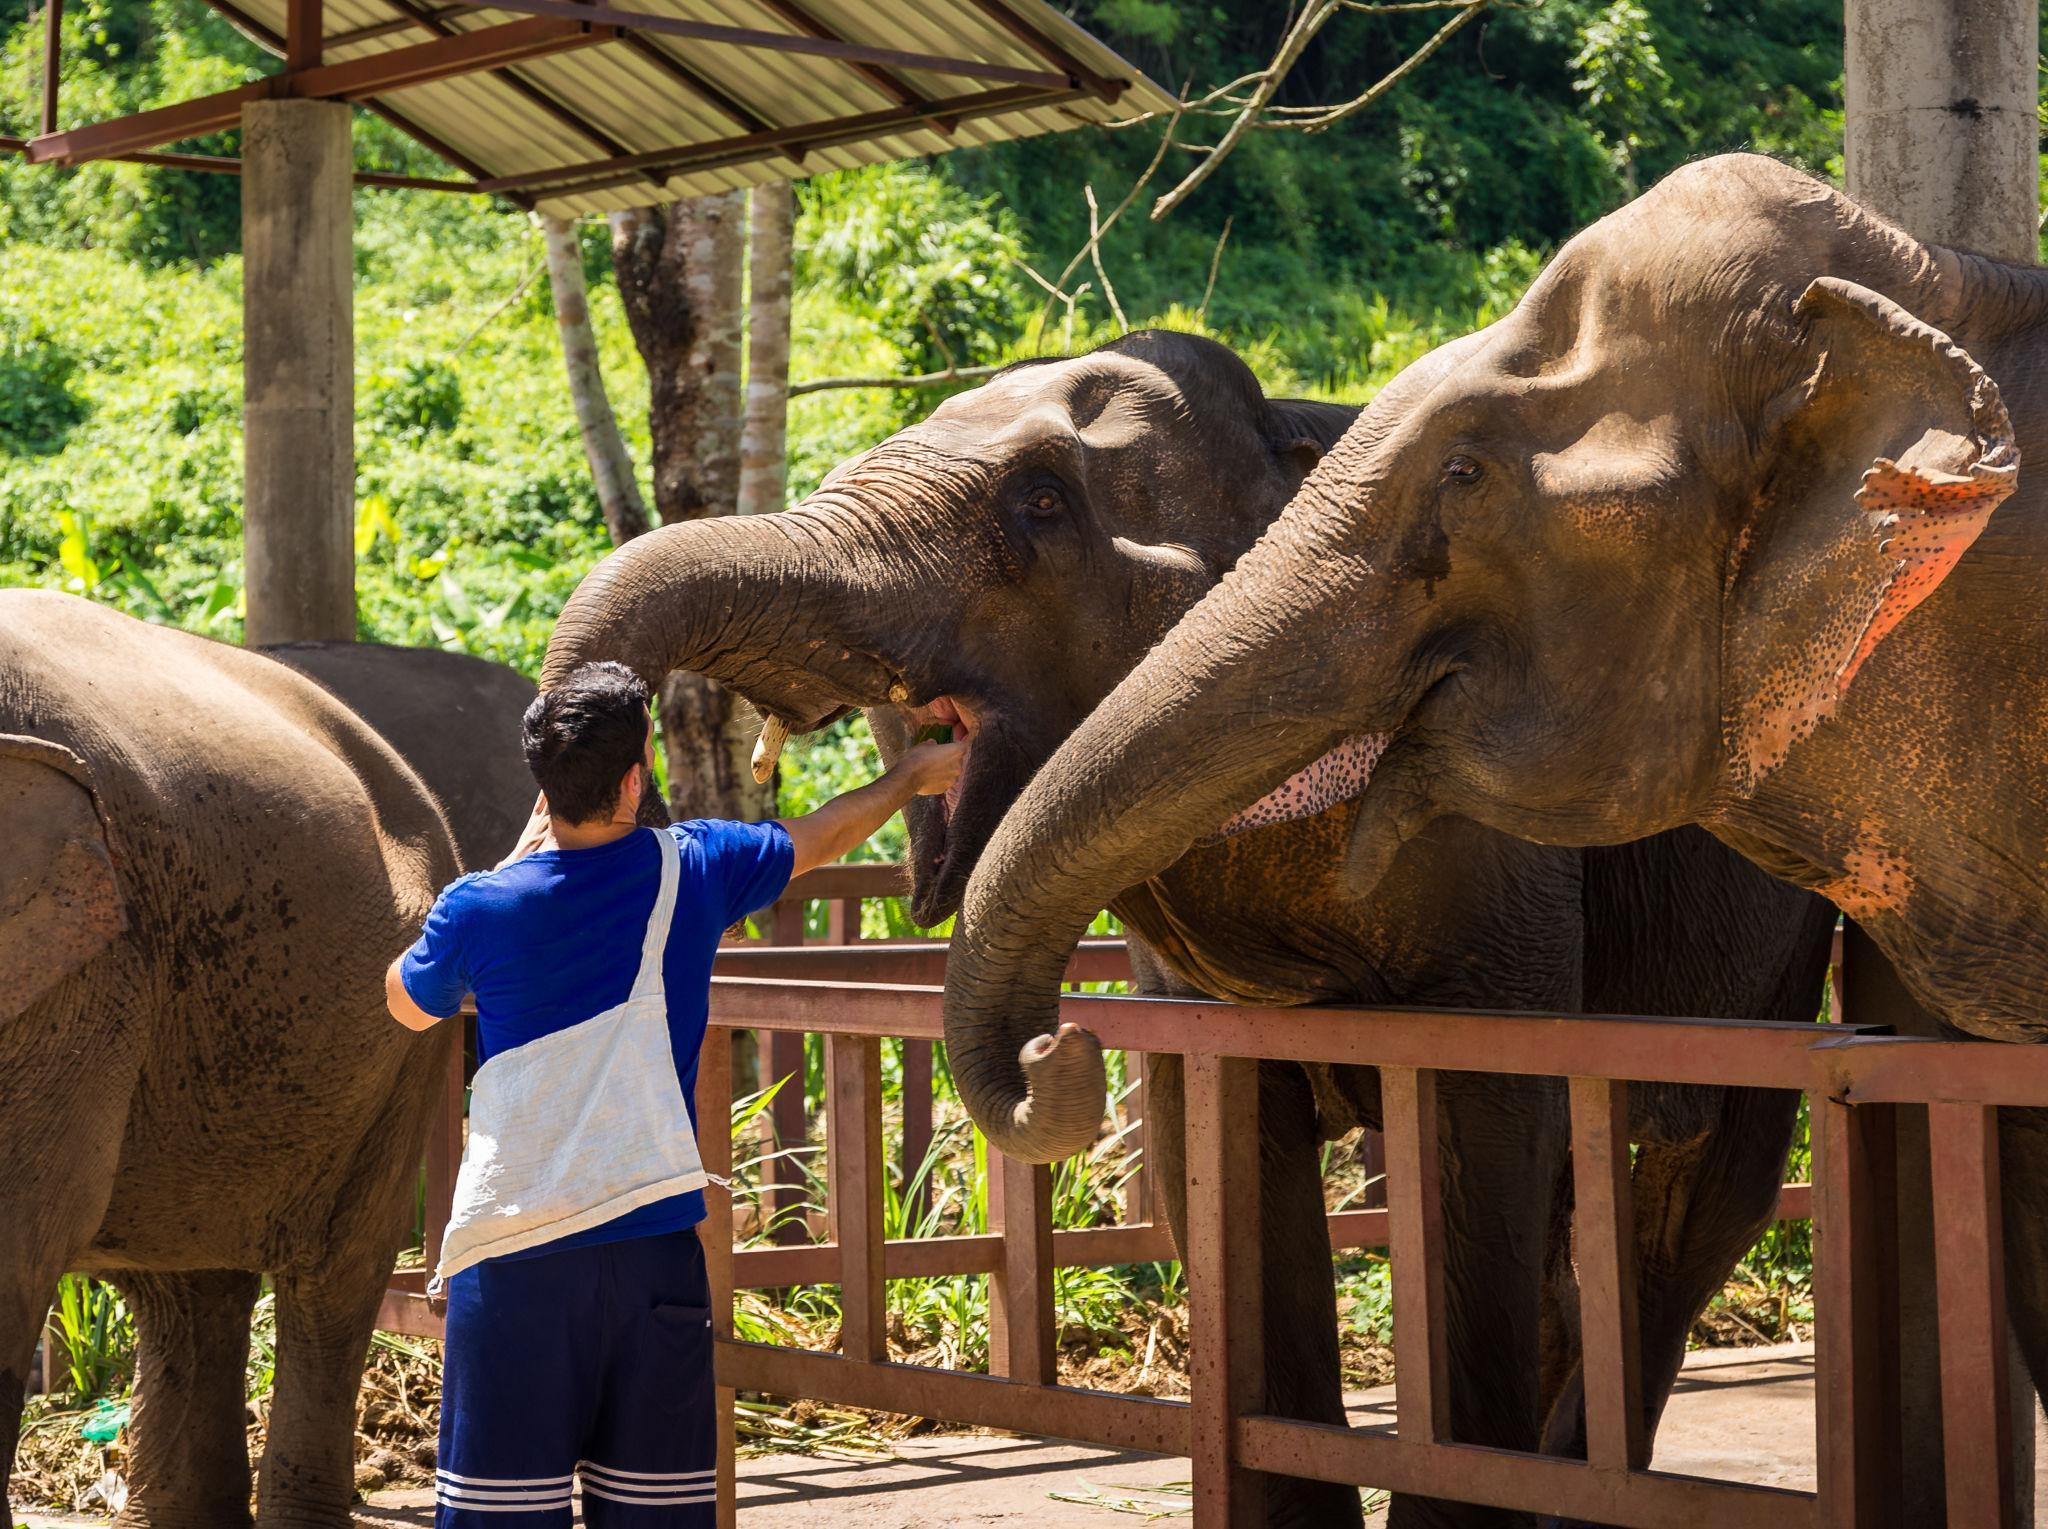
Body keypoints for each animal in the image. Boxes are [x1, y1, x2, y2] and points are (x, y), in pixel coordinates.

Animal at [534, 328, 1834, 1526]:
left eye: (1041, 500)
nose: (1056, 1045)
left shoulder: (1502, 868)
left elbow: (1480, 1140)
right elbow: (1212, 1139)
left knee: (1695, 1186)